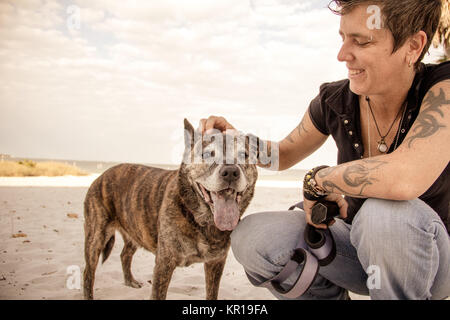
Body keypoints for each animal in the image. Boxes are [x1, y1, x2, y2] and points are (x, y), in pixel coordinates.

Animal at [81, 119, 256, 298]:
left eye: (244, 155)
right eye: (207, 154)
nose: (231, 172)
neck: (199, 219)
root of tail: (101, 175)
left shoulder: (216, 262)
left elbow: (212, 294)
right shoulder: (164, 263)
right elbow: (158, 294)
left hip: (135, 230)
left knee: (125, 255)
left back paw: (130, 281)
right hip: (96, 237)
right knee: (88, 272)